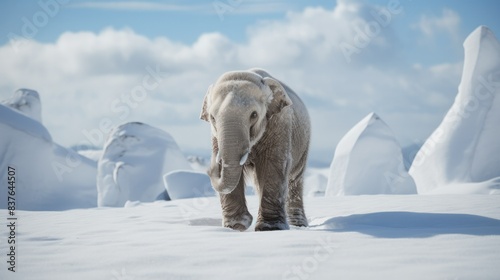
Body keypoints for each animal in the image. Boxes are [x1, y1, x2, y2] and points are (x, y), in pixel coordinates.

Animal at [200, 68, 310, 232]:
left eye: (254, 115)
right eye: (212, 117)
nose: (210, 167)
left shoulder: (279, 125)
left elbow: (273, 165)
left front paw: (270, 228)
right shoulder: (215, 136)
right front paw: (236, 226)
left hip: (304, 144)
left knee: (295, 180)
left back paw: (298, 225)